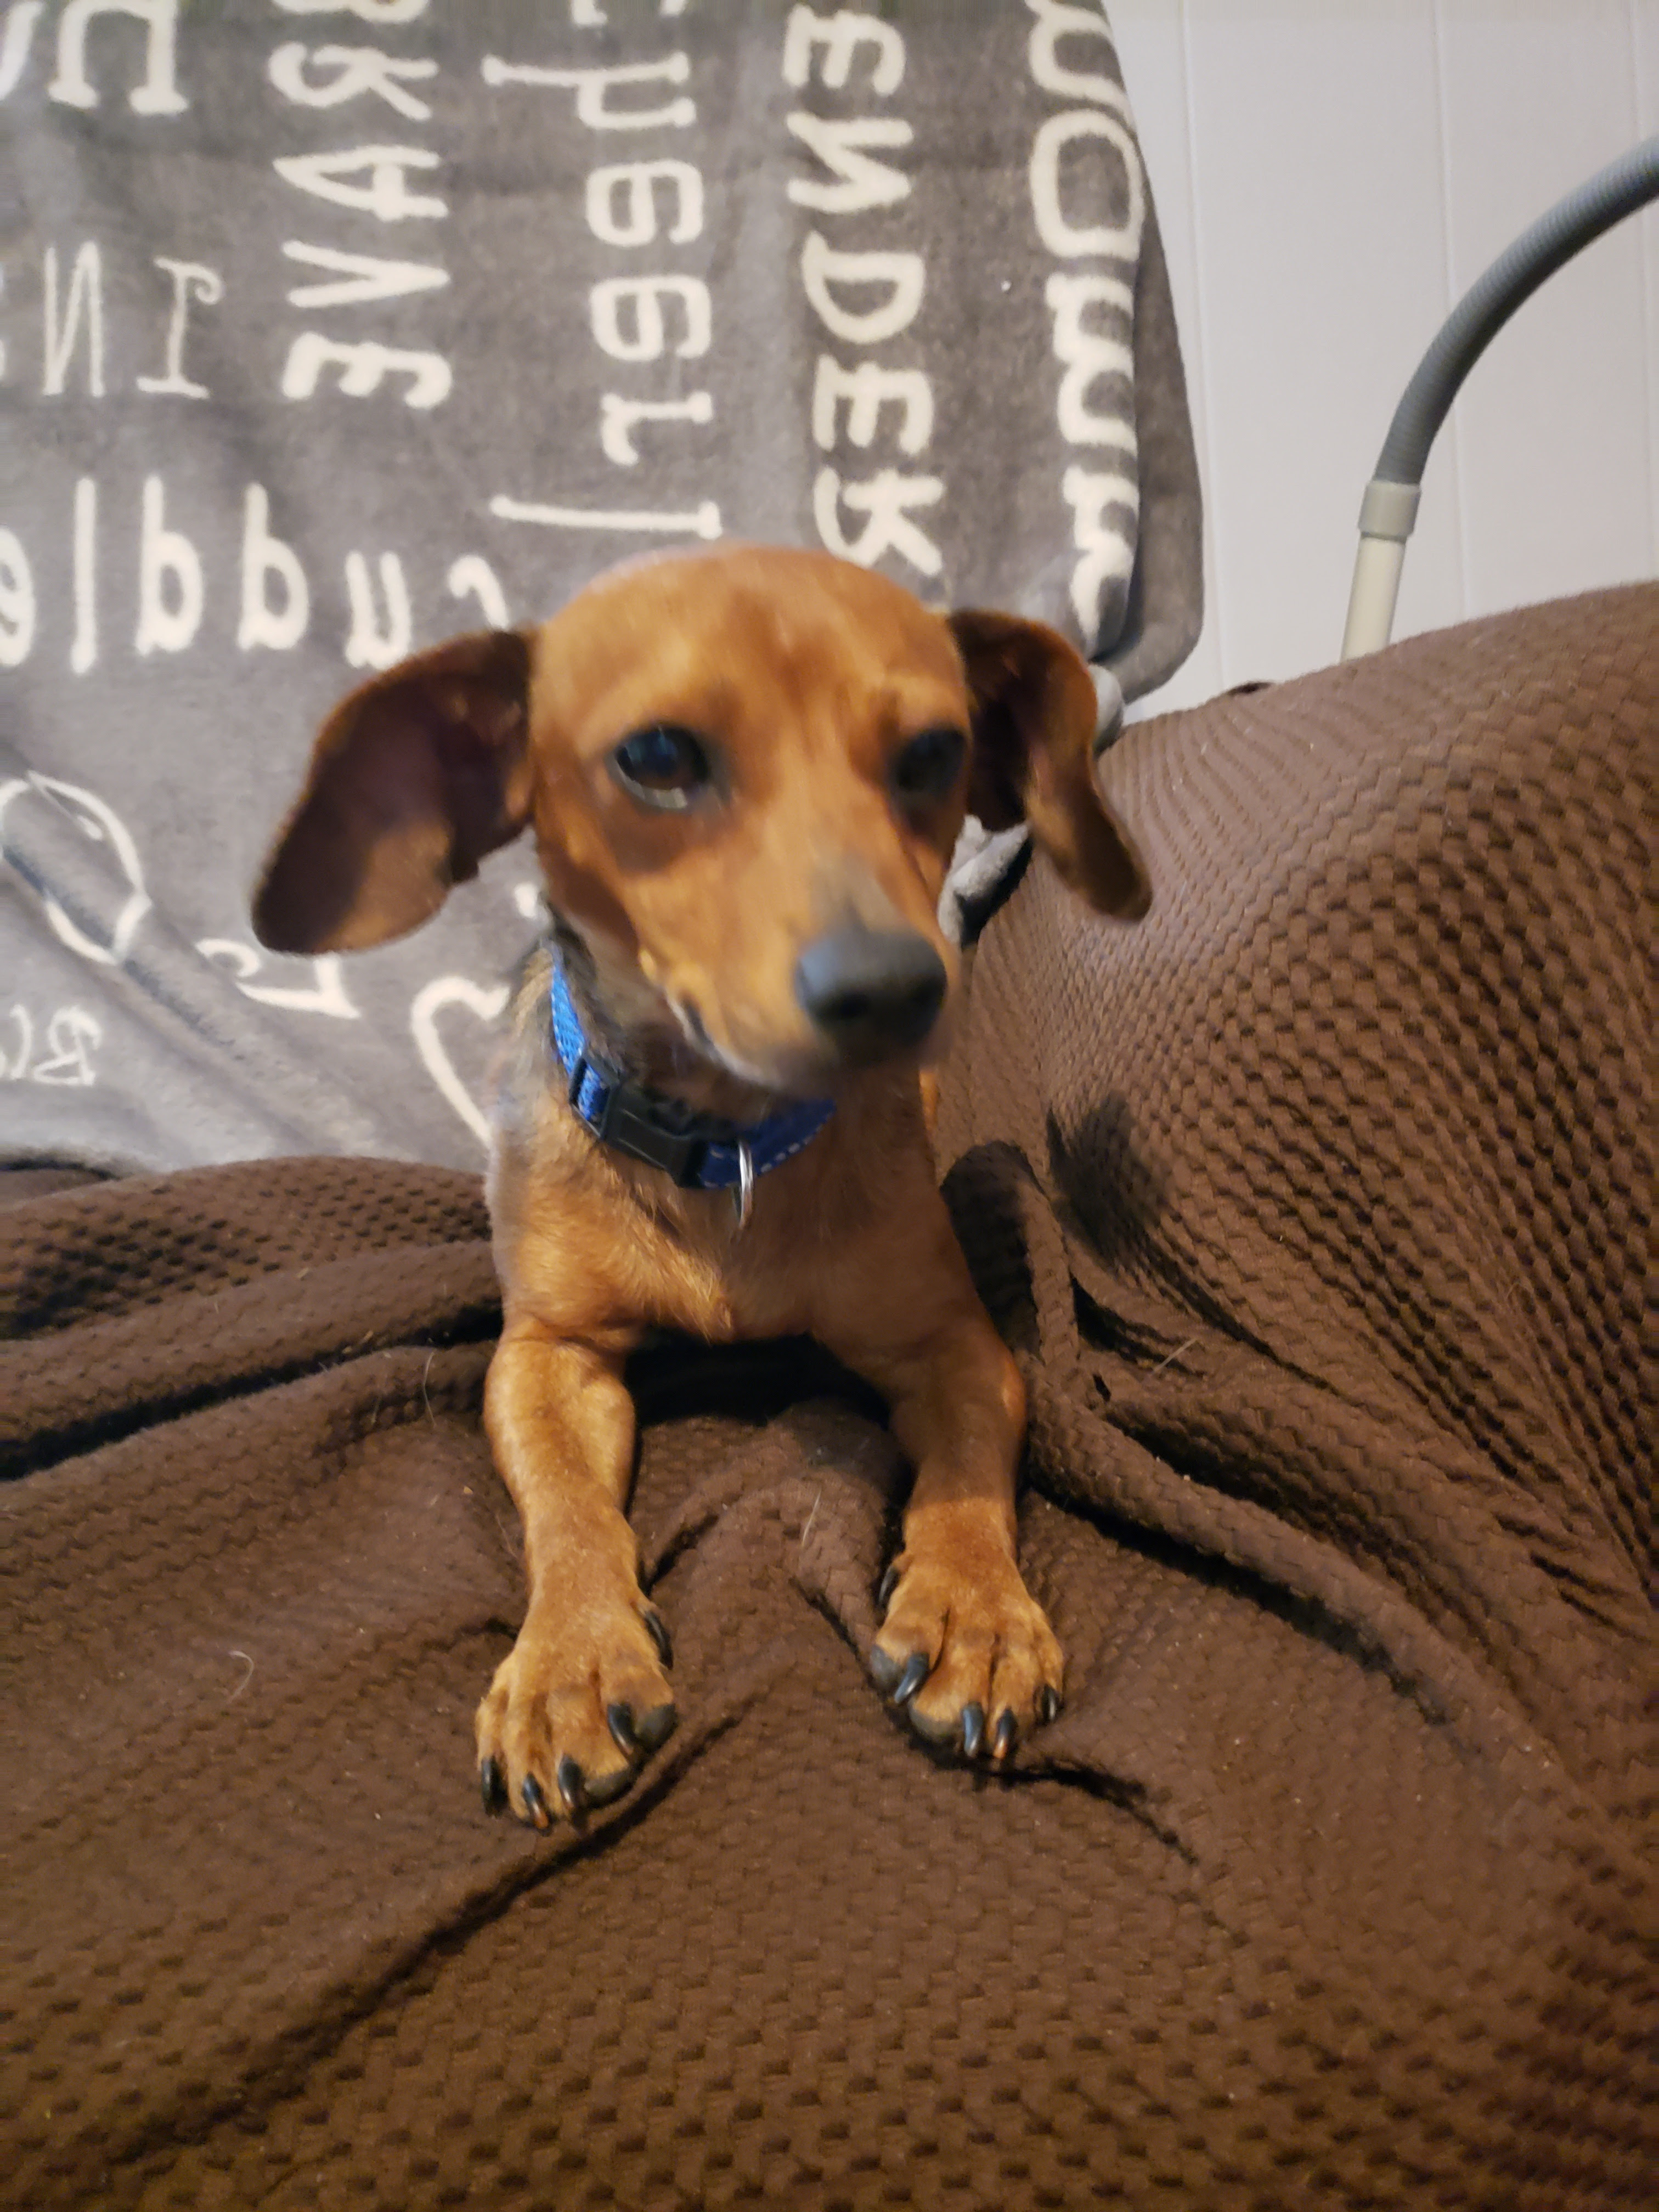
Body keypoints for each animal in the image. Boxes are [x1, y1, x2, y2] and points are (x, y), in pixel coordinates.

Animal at [253, 544, 1150, 1822]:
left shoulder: (955, 1346)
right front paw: (570, 1659)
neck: (724, 1147)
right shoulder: (545, 1356)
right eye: (659, 758)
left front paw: (974, 1613)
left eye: (935, 753)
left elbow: (972, 1474)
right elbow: (568, 1513)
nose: (895, 992)